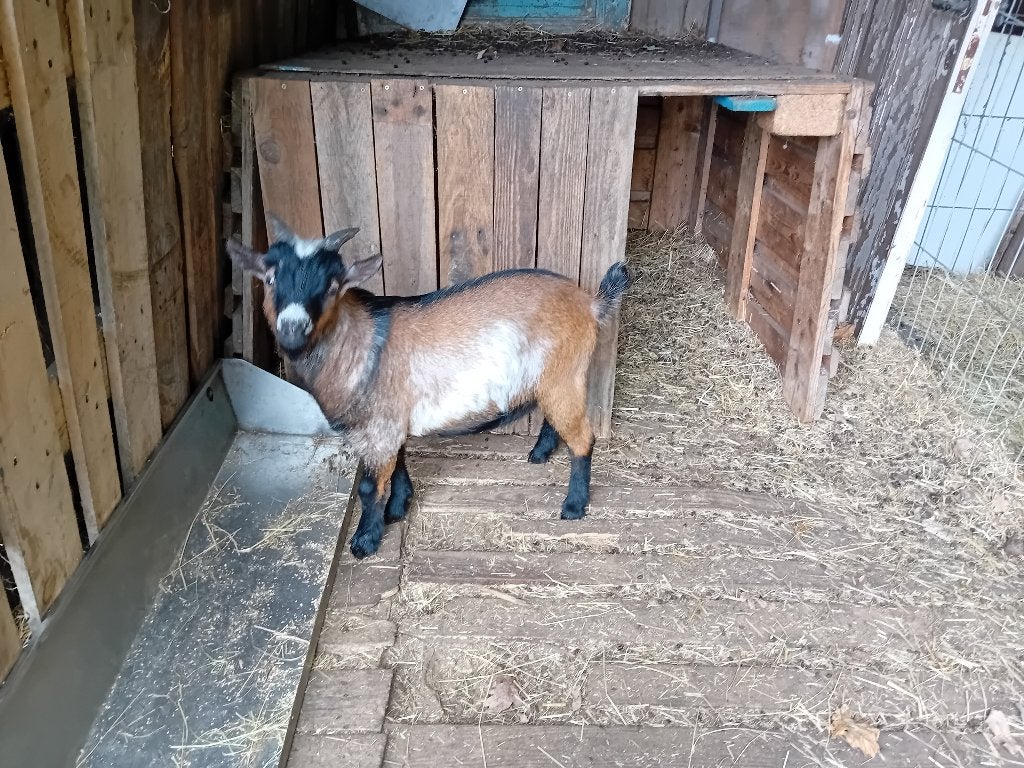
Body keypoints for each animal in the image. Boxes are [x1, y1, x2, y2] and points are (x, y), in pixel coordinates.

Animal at [227, 216, 630, 558]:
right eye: (269, 278)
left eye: (332, 285)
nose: (292, 329)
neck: (358, 342)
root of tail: (590, 302)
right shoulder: (390, 423)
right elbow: (400, 463)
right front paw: (398, 507)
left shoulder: (379, 428)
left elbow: (369, 487)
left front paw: (365, 540)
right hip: (553, 378)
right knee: (555, 419)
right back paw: (541, 453)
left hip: (565, 375)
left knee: (583, 437)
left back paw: (574, 506)